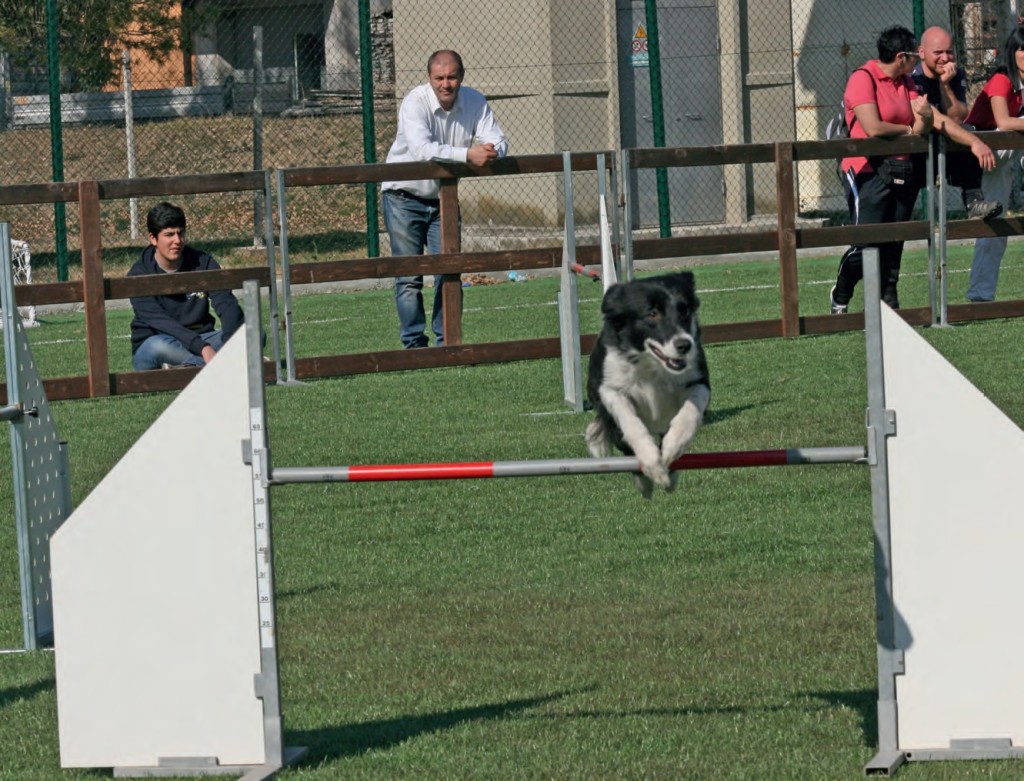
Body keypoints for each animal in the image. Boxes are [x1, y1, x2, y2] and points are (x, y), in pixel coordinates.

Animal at [585, 272, 712, 497]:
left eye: (685, 311)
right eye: (652, 314)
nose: (685, 345)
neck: (652, 365)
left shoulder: (699, 379)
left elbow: (691, 410)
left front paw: (673, 447)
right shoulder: (609, 388)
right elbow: (631, 423)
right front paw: (653, 464)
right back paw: (644, 482)